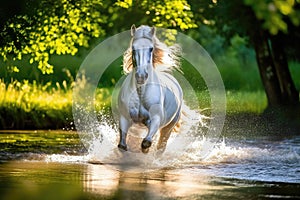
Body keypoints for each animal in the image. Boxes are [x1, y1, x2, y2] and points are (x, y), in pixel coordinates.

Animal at [117, 25, 183, 153]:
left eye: (151, 49)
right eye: (133, 48)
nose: (141, 76)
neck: (141, 93)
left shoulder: (155, 120)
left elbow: (146, 142)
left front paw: (145, 151)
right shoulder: (124, 118)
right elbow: (122, 145)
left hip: (168, 127)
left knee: (160, 147)